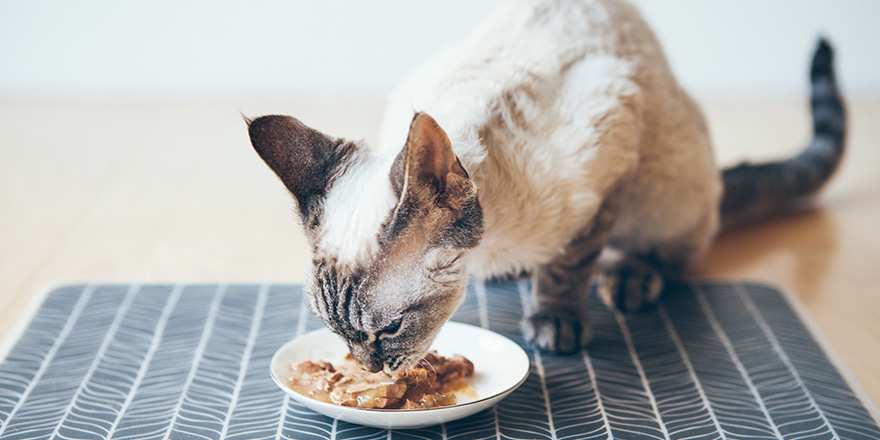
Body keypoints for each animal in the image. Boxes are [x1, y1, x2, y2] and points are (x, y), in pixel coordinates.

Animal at [242, 0, 844, 372]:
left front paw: (554, 319)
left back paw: (629, 278)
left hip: (665, 192)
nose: (368, 368)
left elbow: (568, 265)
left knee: (669, 253)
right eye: (337, 333)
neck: (488, 248)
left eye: (387, 331)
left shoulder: (609, 157)